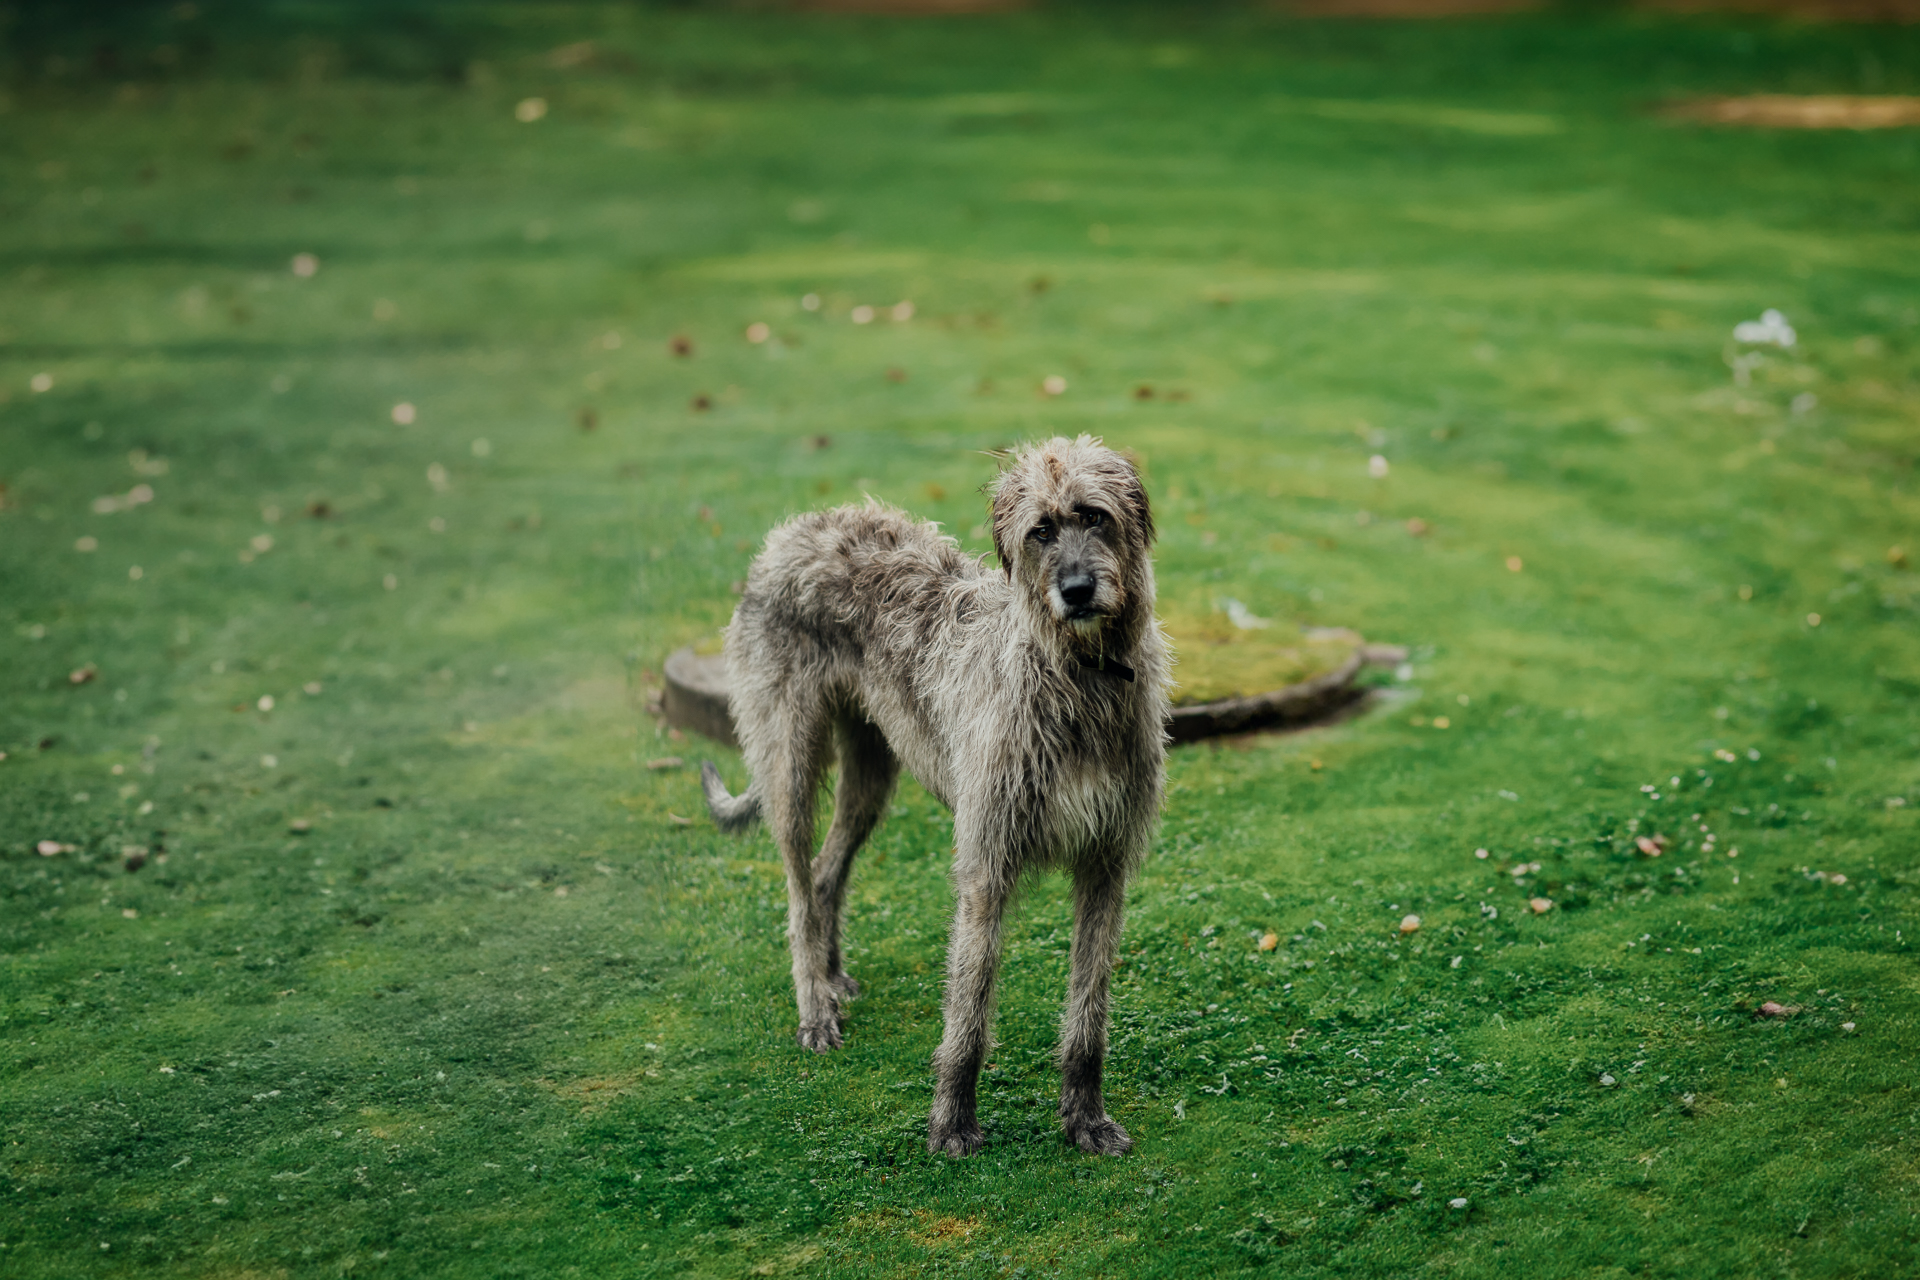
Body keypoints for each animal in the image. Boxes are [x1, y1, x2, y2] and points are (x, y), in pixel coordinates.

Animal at [698, 435, 1159, 1159]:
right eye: (1041, 531)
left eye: (1095, 515)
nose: (1077, 591)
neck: (1076, 677)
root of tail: (791, 531)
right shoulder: (986, 864)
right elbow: (968, 1009)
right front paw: (951, 1122)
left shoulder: (1105, 863)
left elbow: (1089, 1009)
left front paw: (1085, 1119)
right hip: (788, 762)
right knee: (798, 889)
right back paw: (815, 1008)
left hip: (871, 770)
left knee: (827, 872)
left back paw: (831, 978)